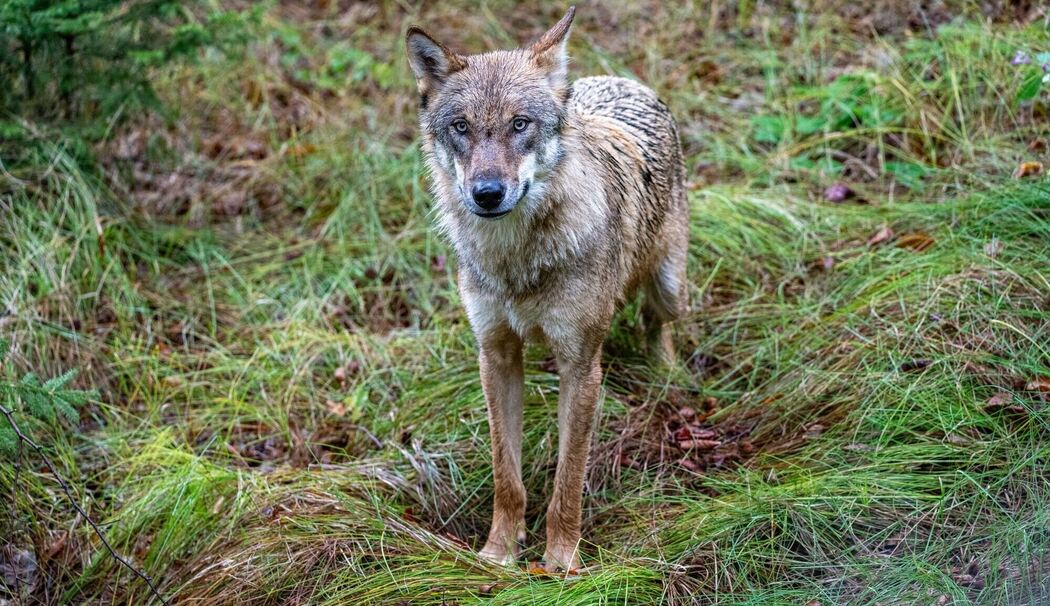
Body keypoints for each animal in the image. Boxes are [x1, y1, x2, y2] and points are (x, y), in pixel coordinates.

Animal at [406, 6, 687, 572]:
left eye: (520, 124)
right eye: (461, 128)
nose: (487, 193)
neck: (517, 260)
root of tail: (621, 81)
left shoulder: (580, 367)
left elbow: (568, 479)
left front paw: (560, 563)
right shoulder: (495, 355)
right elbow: (506, 476)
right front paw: (498, 554)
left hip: (668, 285)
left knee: (657, 322)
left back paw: (667, 374)